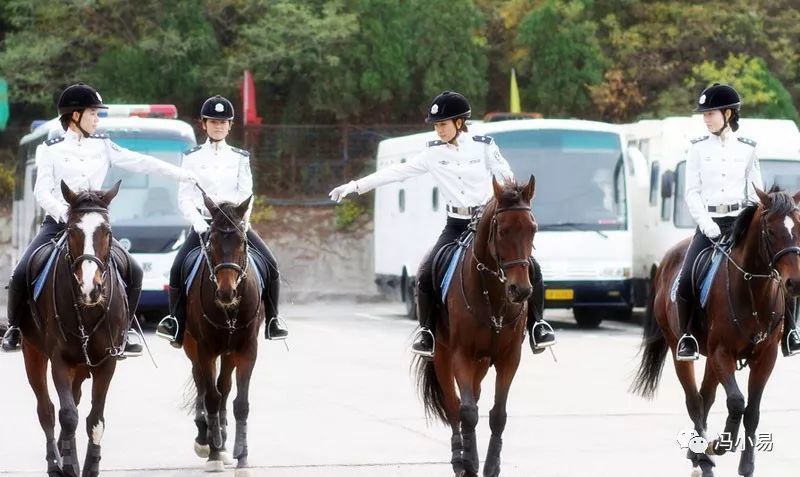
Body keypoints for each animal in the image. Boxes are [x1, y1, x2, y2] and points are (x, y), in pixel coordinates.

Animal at [19, 179, 128, 476]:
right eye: (71, 231)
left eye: (107, 231)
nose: (91, 288)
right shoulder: (59, 359)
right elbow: (67, 416)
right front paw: (68, 465)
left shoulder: (107, 362)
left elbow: (95, 418)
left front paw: (90, 465)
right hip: (33, 353)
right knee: (46, 410)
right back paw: (55, 462)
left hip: (82, 366)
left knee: (76, 400)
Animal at [181, 192, 262, 470]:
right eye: (212, 241)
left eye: (242, 241)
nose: (226, 293)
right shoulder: (205, 349)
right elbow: (212, 397)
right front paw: (214, 452)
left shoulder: (247, 350)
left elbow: (241, 403)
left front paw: (241, 456)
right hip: (192, 346)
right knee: (202, 383)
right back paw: (204, 437)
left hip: (229, 352)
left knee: (224, 385)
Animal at [412, 177, 536, 476]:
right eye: (502, 231)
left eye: (533, 228)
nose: (521, 290)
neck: (493, 294)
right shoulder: (461, 355)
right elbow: (466, 412)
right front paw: (469, 463)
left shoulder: (509, 358)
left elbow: (498, 415)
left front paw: (491, 465)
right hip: (444, 357)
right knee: (454, 406)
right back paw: (459, 457)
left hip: (481, 363)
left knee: (474, 398)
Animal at [632, 186, 800, 476]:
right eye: (769, 230)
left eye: (799, 226)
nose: (795, 283)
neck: (752, 289)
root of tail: (664, 261)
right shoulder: (723, 354)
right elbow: (736, 401)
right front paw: (720, 445)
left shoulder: (765, 357)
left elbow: (752, 410)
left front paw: (746, 465)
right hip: (680, 349)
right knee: (694, 400)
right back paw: (703, 459)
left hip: (711, 357)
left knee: (705, 397)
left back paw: (697, 453)